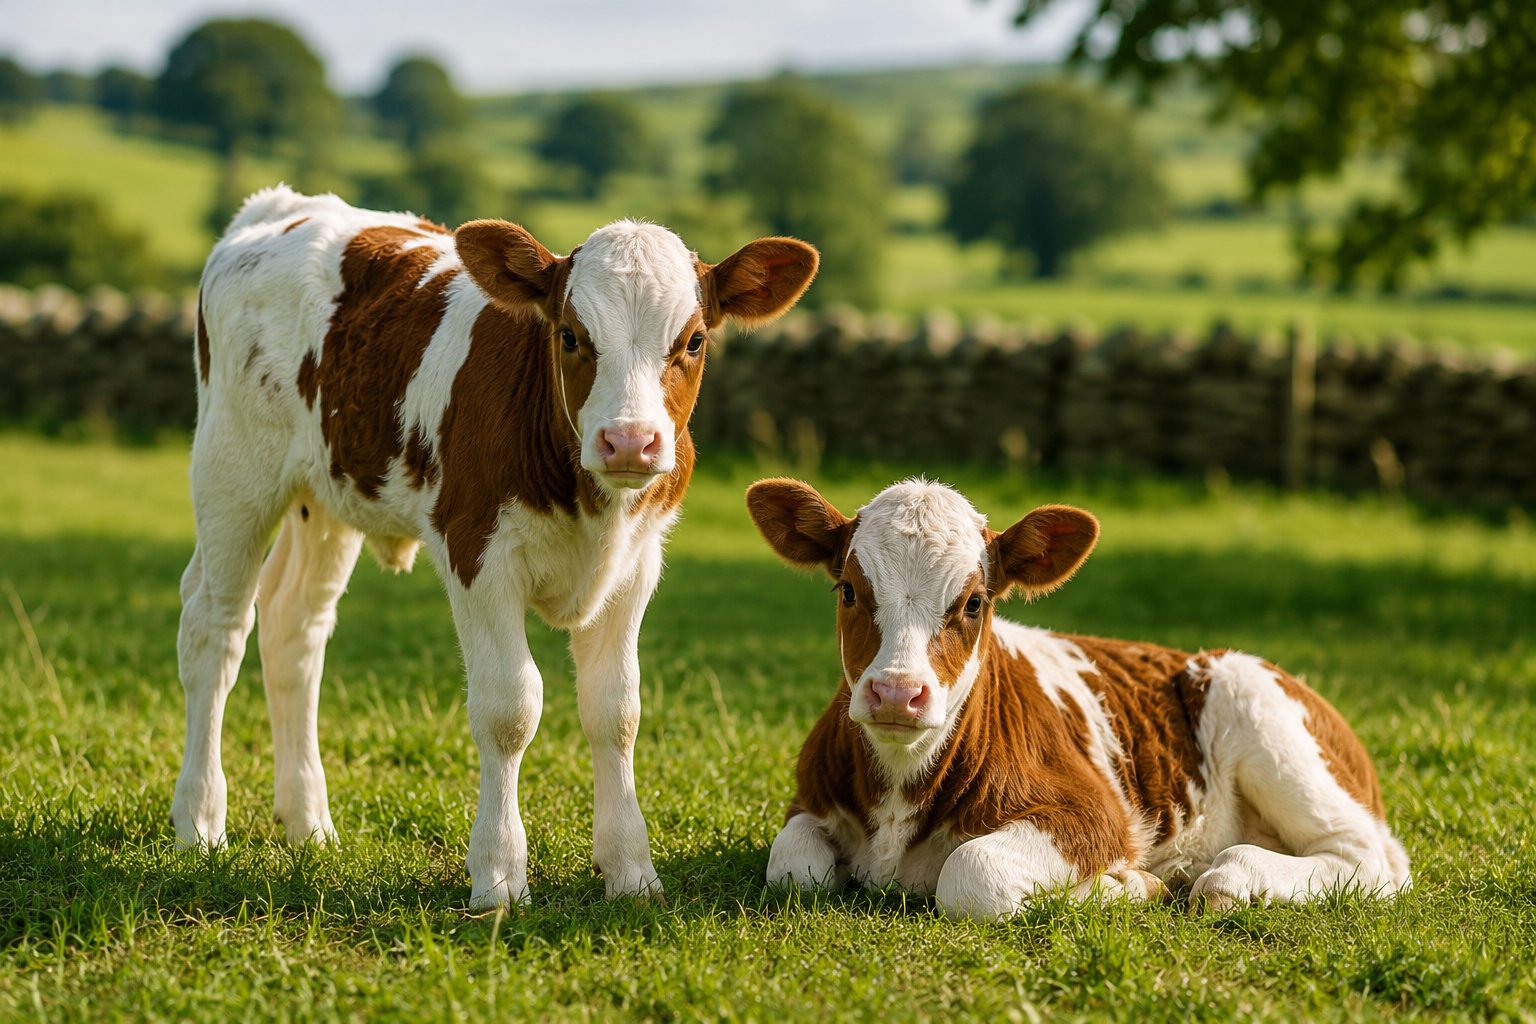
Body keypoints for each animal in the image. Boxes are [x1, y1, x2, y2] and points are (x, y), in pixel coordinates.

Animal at [174, 185, 818, 908]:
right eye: (569, 335)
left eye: (694, 340)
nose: (629, 441)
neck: (589, 502)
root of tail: (280, 205)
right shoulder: (476, 551)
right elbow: (510, 707)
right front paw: (500, 875)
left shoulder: (636, 562)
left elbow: (616, 709)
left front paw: (630, 870)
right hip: (233, 470)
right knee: (215, 630)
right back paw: (199, 820)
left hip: (325, 496)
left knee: (294, 628)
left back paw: (308, 822)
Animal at [745, 477, 1411, 919]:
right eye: (848, 591)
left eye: (974, 602)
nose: (896, 693)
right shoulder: (809, 798)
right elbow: (793, 867)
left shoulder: (1094, 814)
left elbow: (972, 873)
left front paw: (1127, 886)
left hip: (1262, 714)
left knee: (1369, 857)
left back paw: (1230, 877)